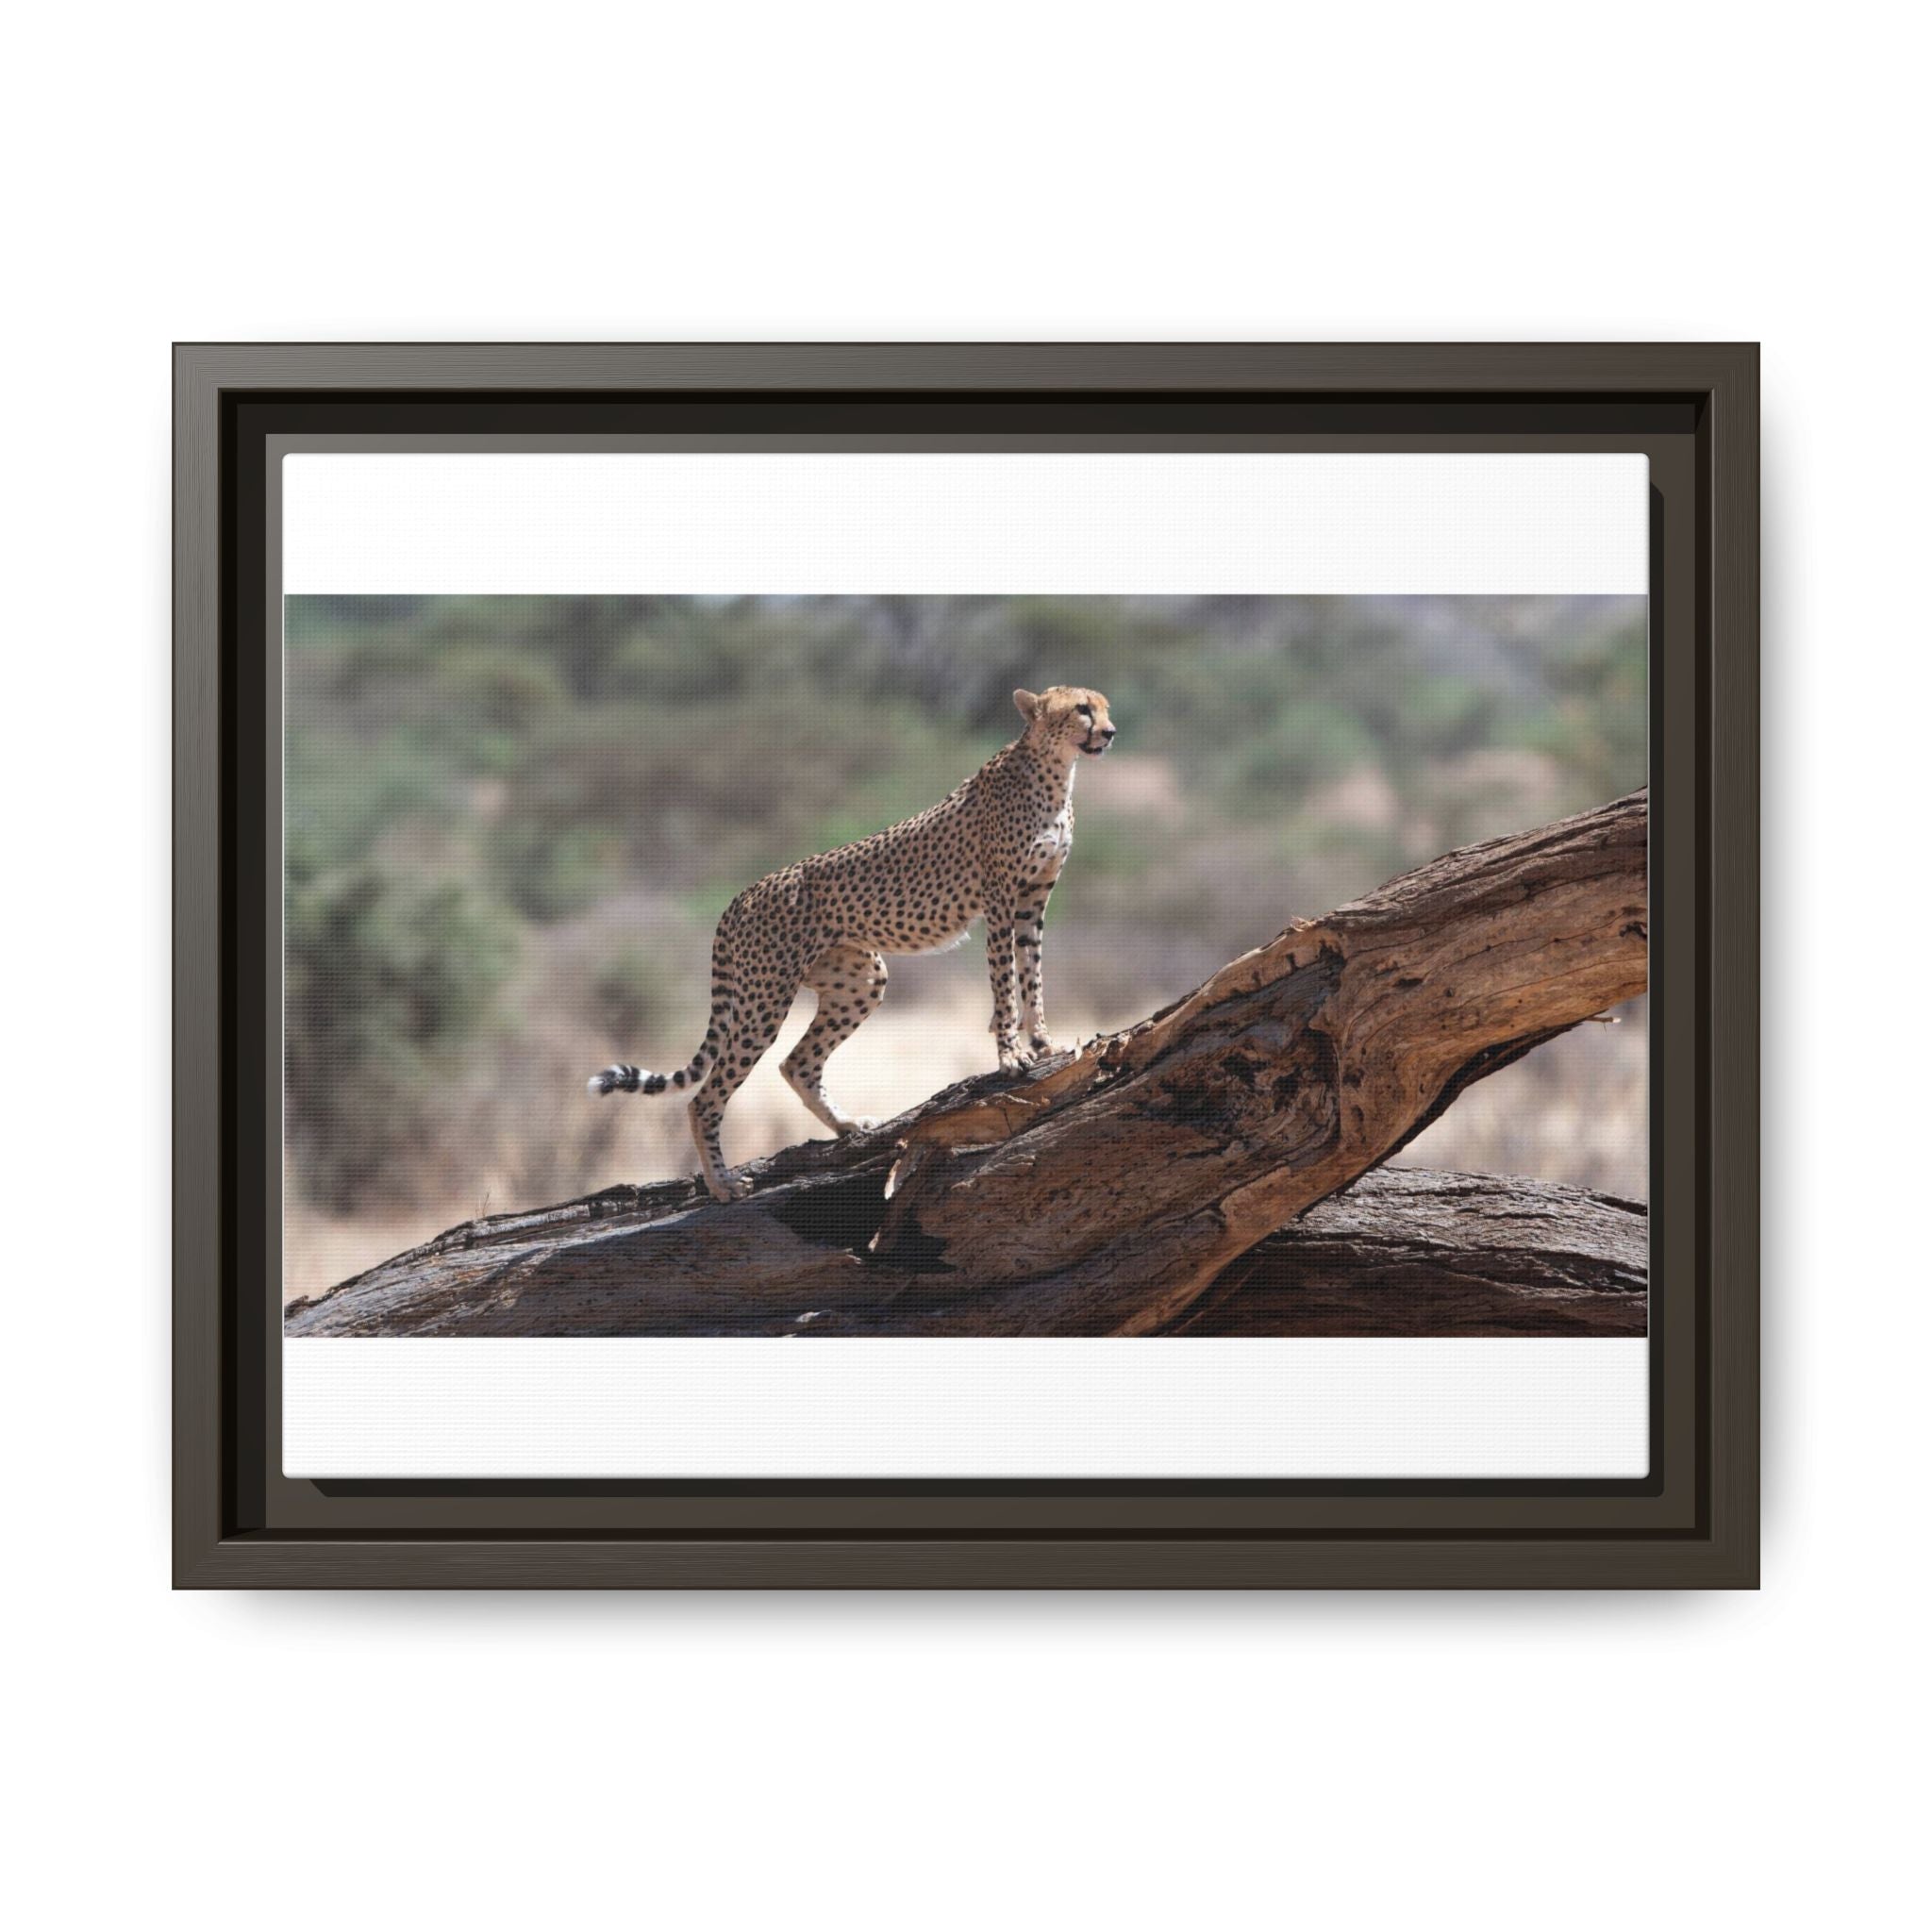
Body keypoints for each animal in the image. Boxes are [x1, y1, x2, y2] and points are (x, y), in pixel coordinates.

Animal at [588, 684, 1117, 1202]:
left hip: (860, 979)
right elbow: (1005, 984)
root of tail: (742, 894)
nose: (1110, 732)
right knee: (706, 1096)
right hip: (765, 997)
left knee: (797, 1064)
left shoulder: (1032, 902)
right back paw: (723, 1184)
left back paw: (846, 1126)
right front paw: (1011, 1056)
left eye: (1104, 707)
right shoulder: (1001, 901)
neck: (1055, 771)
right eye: (1081, 709)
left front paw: (1044, 1042)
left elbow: (1032, 975)